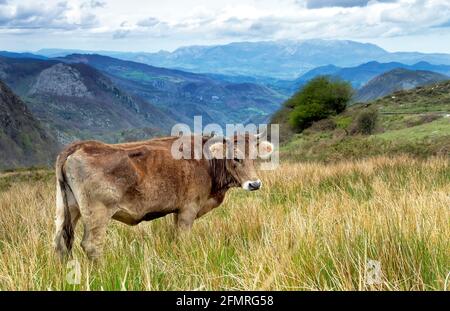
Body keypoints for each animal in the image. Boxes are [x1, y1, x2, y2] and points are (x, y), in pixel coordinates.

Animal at [53, 135, 274, 260]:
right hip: (97, 211)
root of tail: (78, 146)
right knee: (91, 245)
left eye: (254, 157)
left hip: (67, 207)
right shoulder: (188, 208)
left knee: (60, 243)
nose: (255, 184)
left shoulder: (178, 210)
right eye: (235, 157)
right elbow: (183, 238)